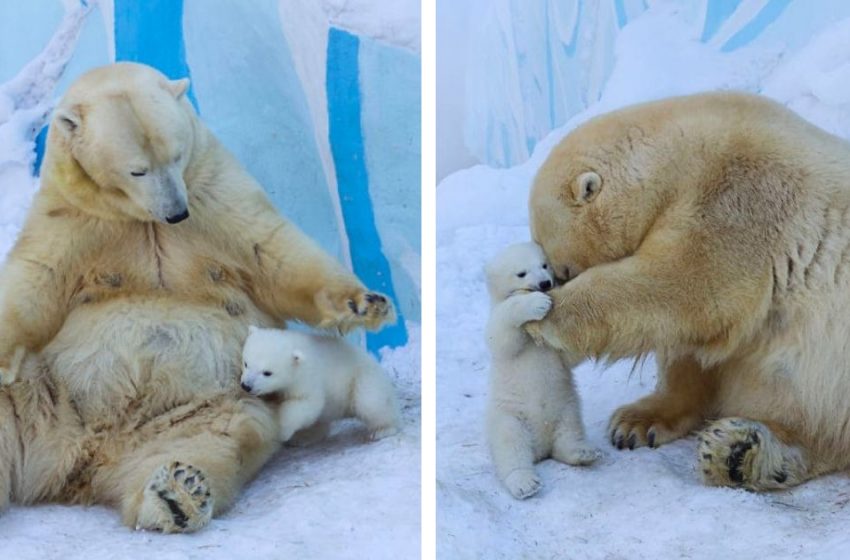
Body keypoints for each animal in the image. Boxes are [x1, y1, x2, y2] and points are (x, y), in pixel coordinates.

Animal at [237, 326, 400, 444]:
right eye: (246, 363)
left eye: (267, 372)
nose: (246, 386)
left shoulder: (307, 378)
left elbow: (309, 404)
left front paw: (282, 432)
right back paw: (305, 437)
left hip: (364, 378)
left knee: (370, 402)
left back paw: (382, 430)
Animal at [484, 242, 596, 498]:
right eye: (521, 273)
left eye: (544, 265)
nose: (545, 283)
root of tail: (541, 449)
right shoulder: (498, 318)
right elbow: (502, 336)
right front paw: (536, 303)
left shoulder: (555, 352)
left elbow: (567, 356)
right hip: (510, 416)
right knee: (511, 446)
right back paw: (524, 482)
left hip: (566, 406)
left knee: (569, 431)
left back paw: (582, 453)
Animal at [528, 94, 850, 492]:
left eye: (561, 269)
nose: (549, 283)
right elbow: (692, 350)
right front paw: (636, 422)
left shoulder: (742, 199)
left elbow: (682, 286)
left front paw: (544, 315)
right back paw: (741, 455)